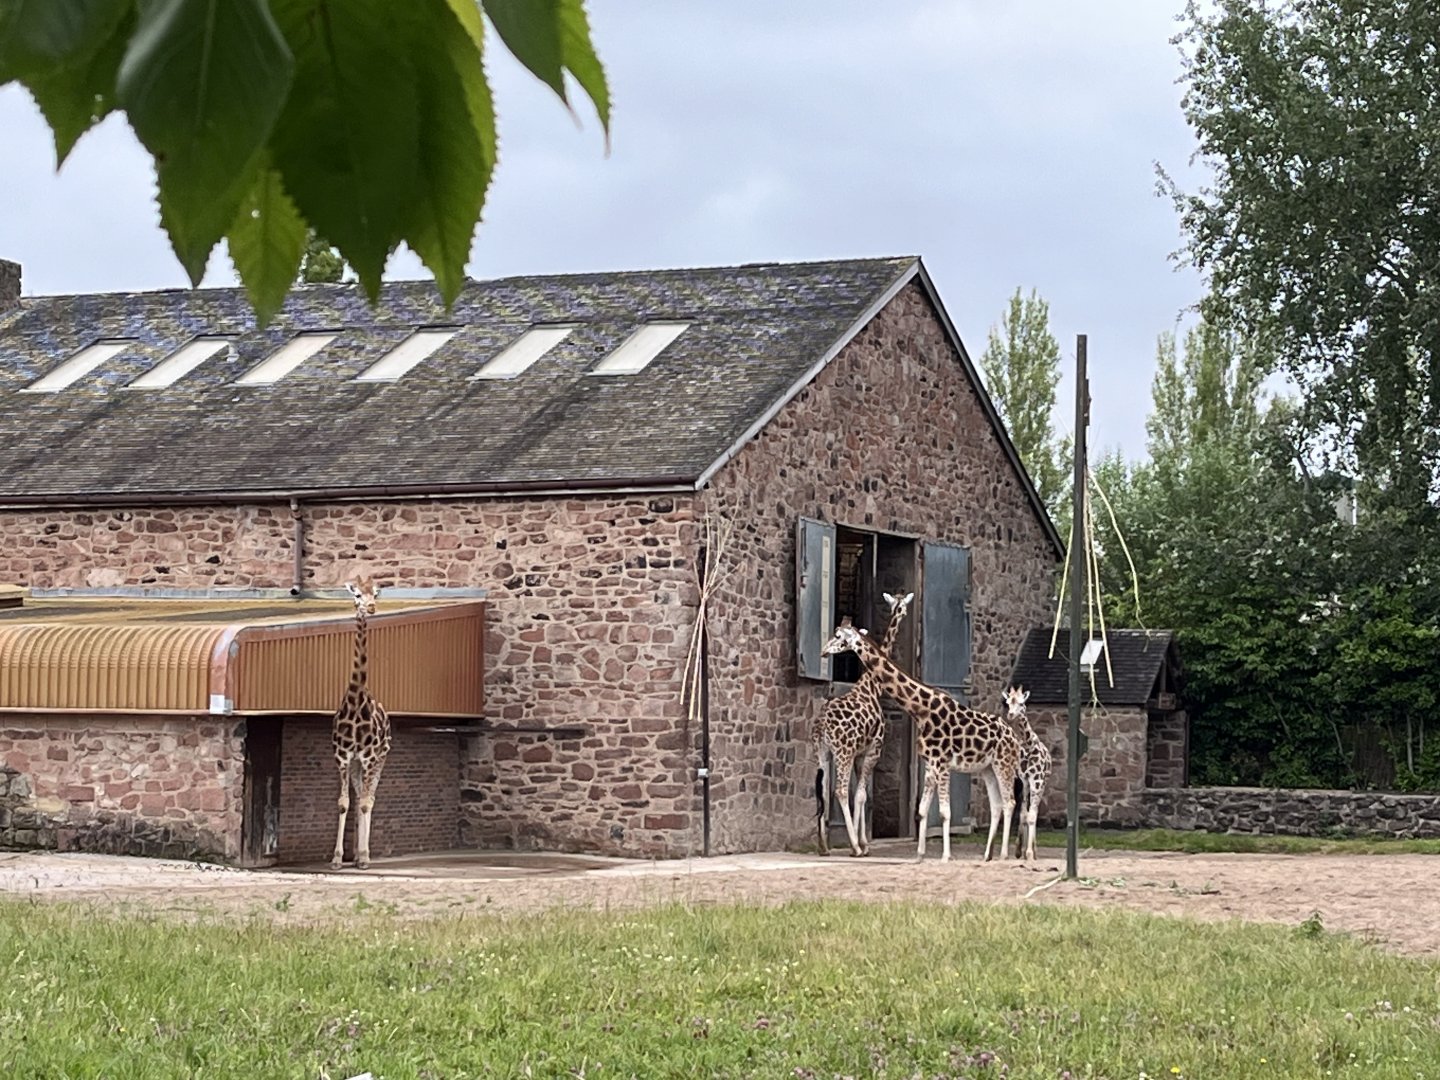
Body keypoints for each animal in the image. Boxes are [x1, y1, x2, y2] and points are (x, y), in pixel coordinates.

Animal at [812, 591, 914, 857]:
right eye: (902, 607)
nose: (823, 651)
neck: (871, 684)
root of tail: (822, 726)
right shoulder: (872, 750)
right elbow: (860, 795)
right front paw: (862, 844)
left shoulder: (859, 754)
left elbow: (861, 794)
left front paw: (861, 841)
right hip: (842, 752)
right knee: (839, 789)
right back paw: (854, 848)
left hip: (822, 752)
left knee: (823, 788)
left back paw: (823, 846)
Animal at [821, 623, 1022, 862]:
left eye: (838, 636)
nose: (823, 651)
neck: (921, 710)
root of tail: (1015, 739)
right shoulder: (930, 763)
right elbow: (923, 809)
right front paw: (919, 855)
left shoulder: (942, 763)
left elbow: (945, 812)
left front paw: (945, 856)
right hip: (987, 769)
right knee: (998, 805)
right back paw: (987, 855)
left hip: (1004, 764)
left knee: (1010, 803)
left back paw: (1003, 855)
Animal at [1002, 686, 1052, 862]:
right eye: (1008, 702)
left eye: (1021, 703)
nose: (1010, 714)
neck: (1028, 746)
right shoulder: (1024, 781)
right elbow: (1024, 815)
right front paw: (1020, 850)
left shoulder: (1036, 780)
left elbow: (1031, 816)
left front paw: (1030, 853)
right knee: (1028, 811)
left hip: (1042, 785)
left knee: (1034, 812)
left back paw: (1034, 851)